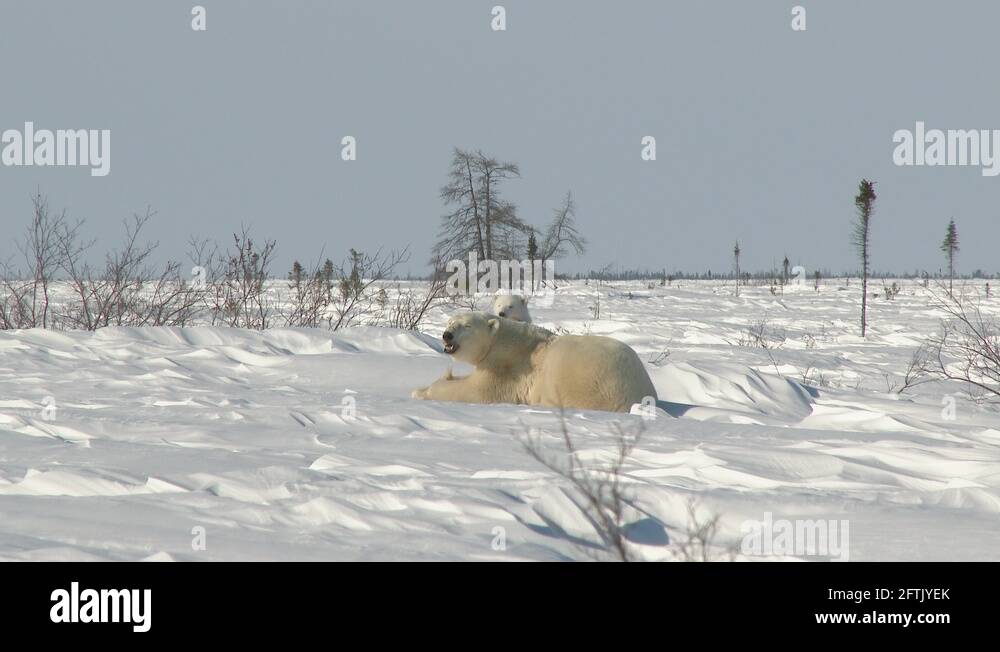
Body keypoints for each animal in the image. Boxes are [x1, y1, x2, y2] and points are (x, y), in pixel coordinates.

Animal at [412, 310, 656, 412]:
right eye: (450, 322)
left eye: (467, 325)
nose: (447, 335)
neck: (502, 341)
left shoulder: (509, 369)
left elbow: (477, 391)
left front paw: (422, 390)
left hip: (589, 380)